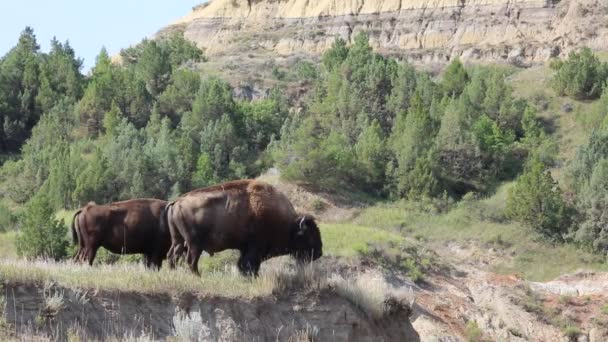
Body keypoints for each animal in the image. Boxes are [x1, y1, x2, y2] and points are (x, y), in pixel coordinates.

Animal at [162, 180, 324, 276]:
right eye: (310, 235)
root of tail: (177, 201)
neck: (289, 225)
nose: (319, 252)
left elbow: (242, 264)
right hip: (194, 244)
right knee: (190, 260)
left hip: (178, 240)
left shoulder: (245, 249)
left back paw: (173, 273)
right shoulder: (255, 249)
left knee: (172, 255)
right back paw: (198, 276)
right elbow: (250, 265)